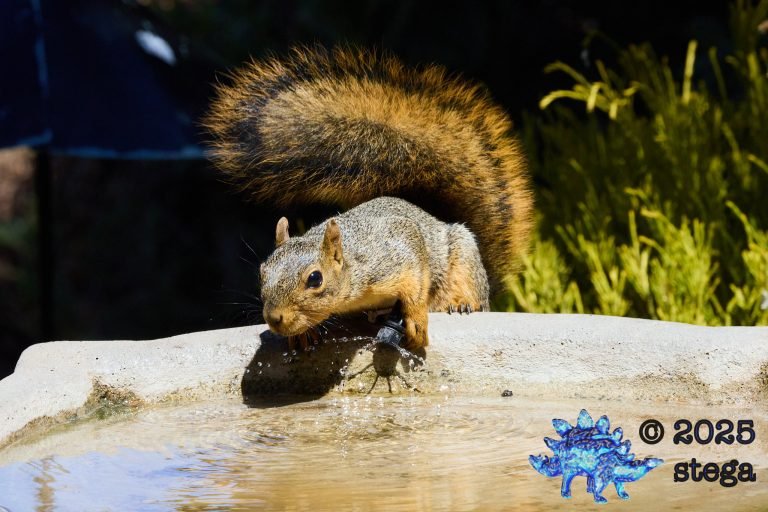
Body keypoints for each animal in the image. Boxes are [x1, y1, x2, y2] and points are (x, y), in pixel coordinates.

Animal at [204, 45, 533, 351]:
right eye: (262, 273)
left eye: (315, 279)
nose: (274, 318)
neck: (351, 272)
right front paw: (302, 334)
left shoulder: (396, 251)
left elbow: (415, 283)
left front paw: (416, 321)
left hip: (463, 258)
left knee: (468, 290)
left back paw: (460, 302)